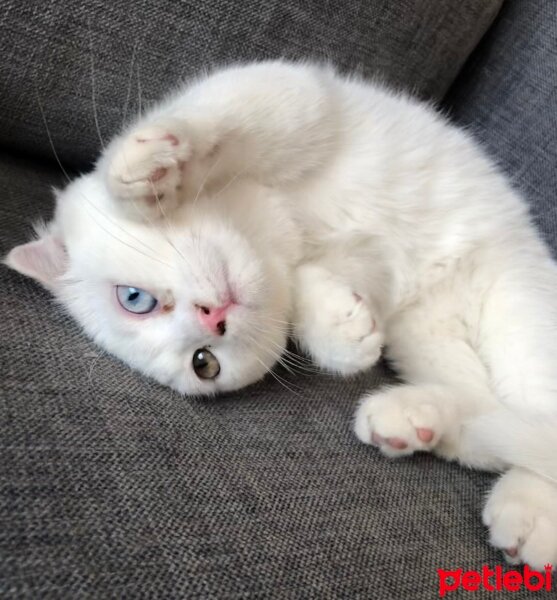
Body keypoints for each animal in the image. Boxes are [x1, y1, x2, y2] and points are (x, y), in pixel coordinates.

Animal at [5, 61, 556, 568]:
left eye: (133, 298)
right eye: (204, 363)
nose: (213, 317)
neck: (277, 221)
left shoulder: (294, 96)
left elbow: (231, 120)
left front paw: (145, 172)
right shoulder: (355, 270)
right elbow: (306, 288)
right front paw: (341, 333)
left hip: (519, 322)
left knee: (534, 413)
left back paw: (527, 512)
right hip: (426, 341)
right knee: (487, 421)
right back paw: (413, 422)